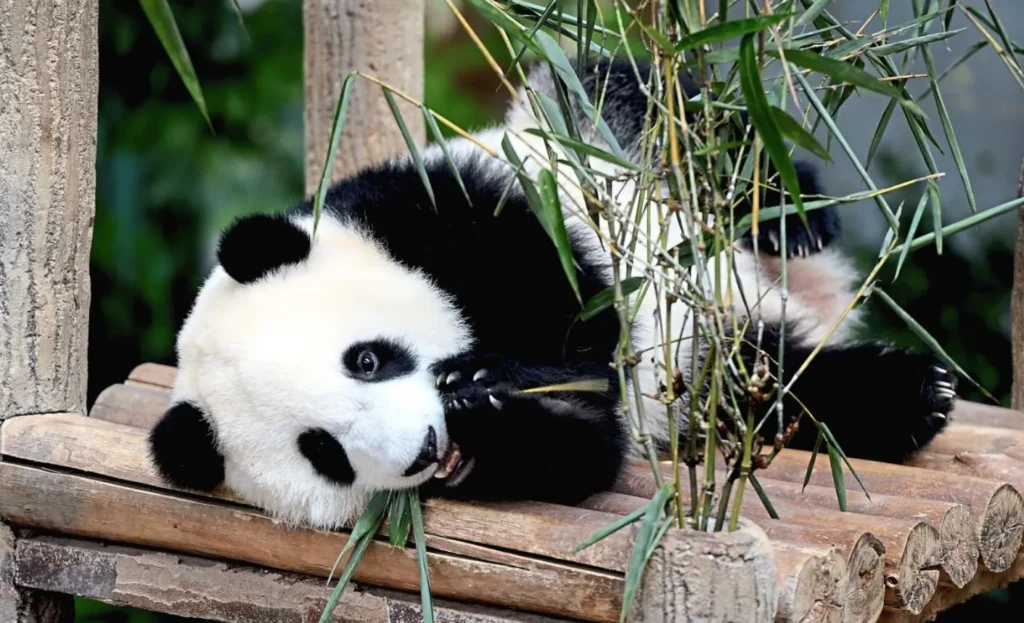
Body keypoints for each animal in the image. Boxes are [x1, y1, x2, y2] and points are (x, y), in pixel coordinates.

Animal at [148, 58, 958, 530]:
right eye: (325, 453)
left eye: (367, 360)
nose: (424, 446)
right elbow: (586, 448)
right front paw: (492, 409)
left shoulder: (430, 205)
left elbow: (568, 291)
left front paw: (494, 375)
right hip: (722, 364)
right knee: (777, 381)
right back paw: (912, 395)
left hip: (594, 133)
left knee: (660, 105)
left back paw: (795, 216)